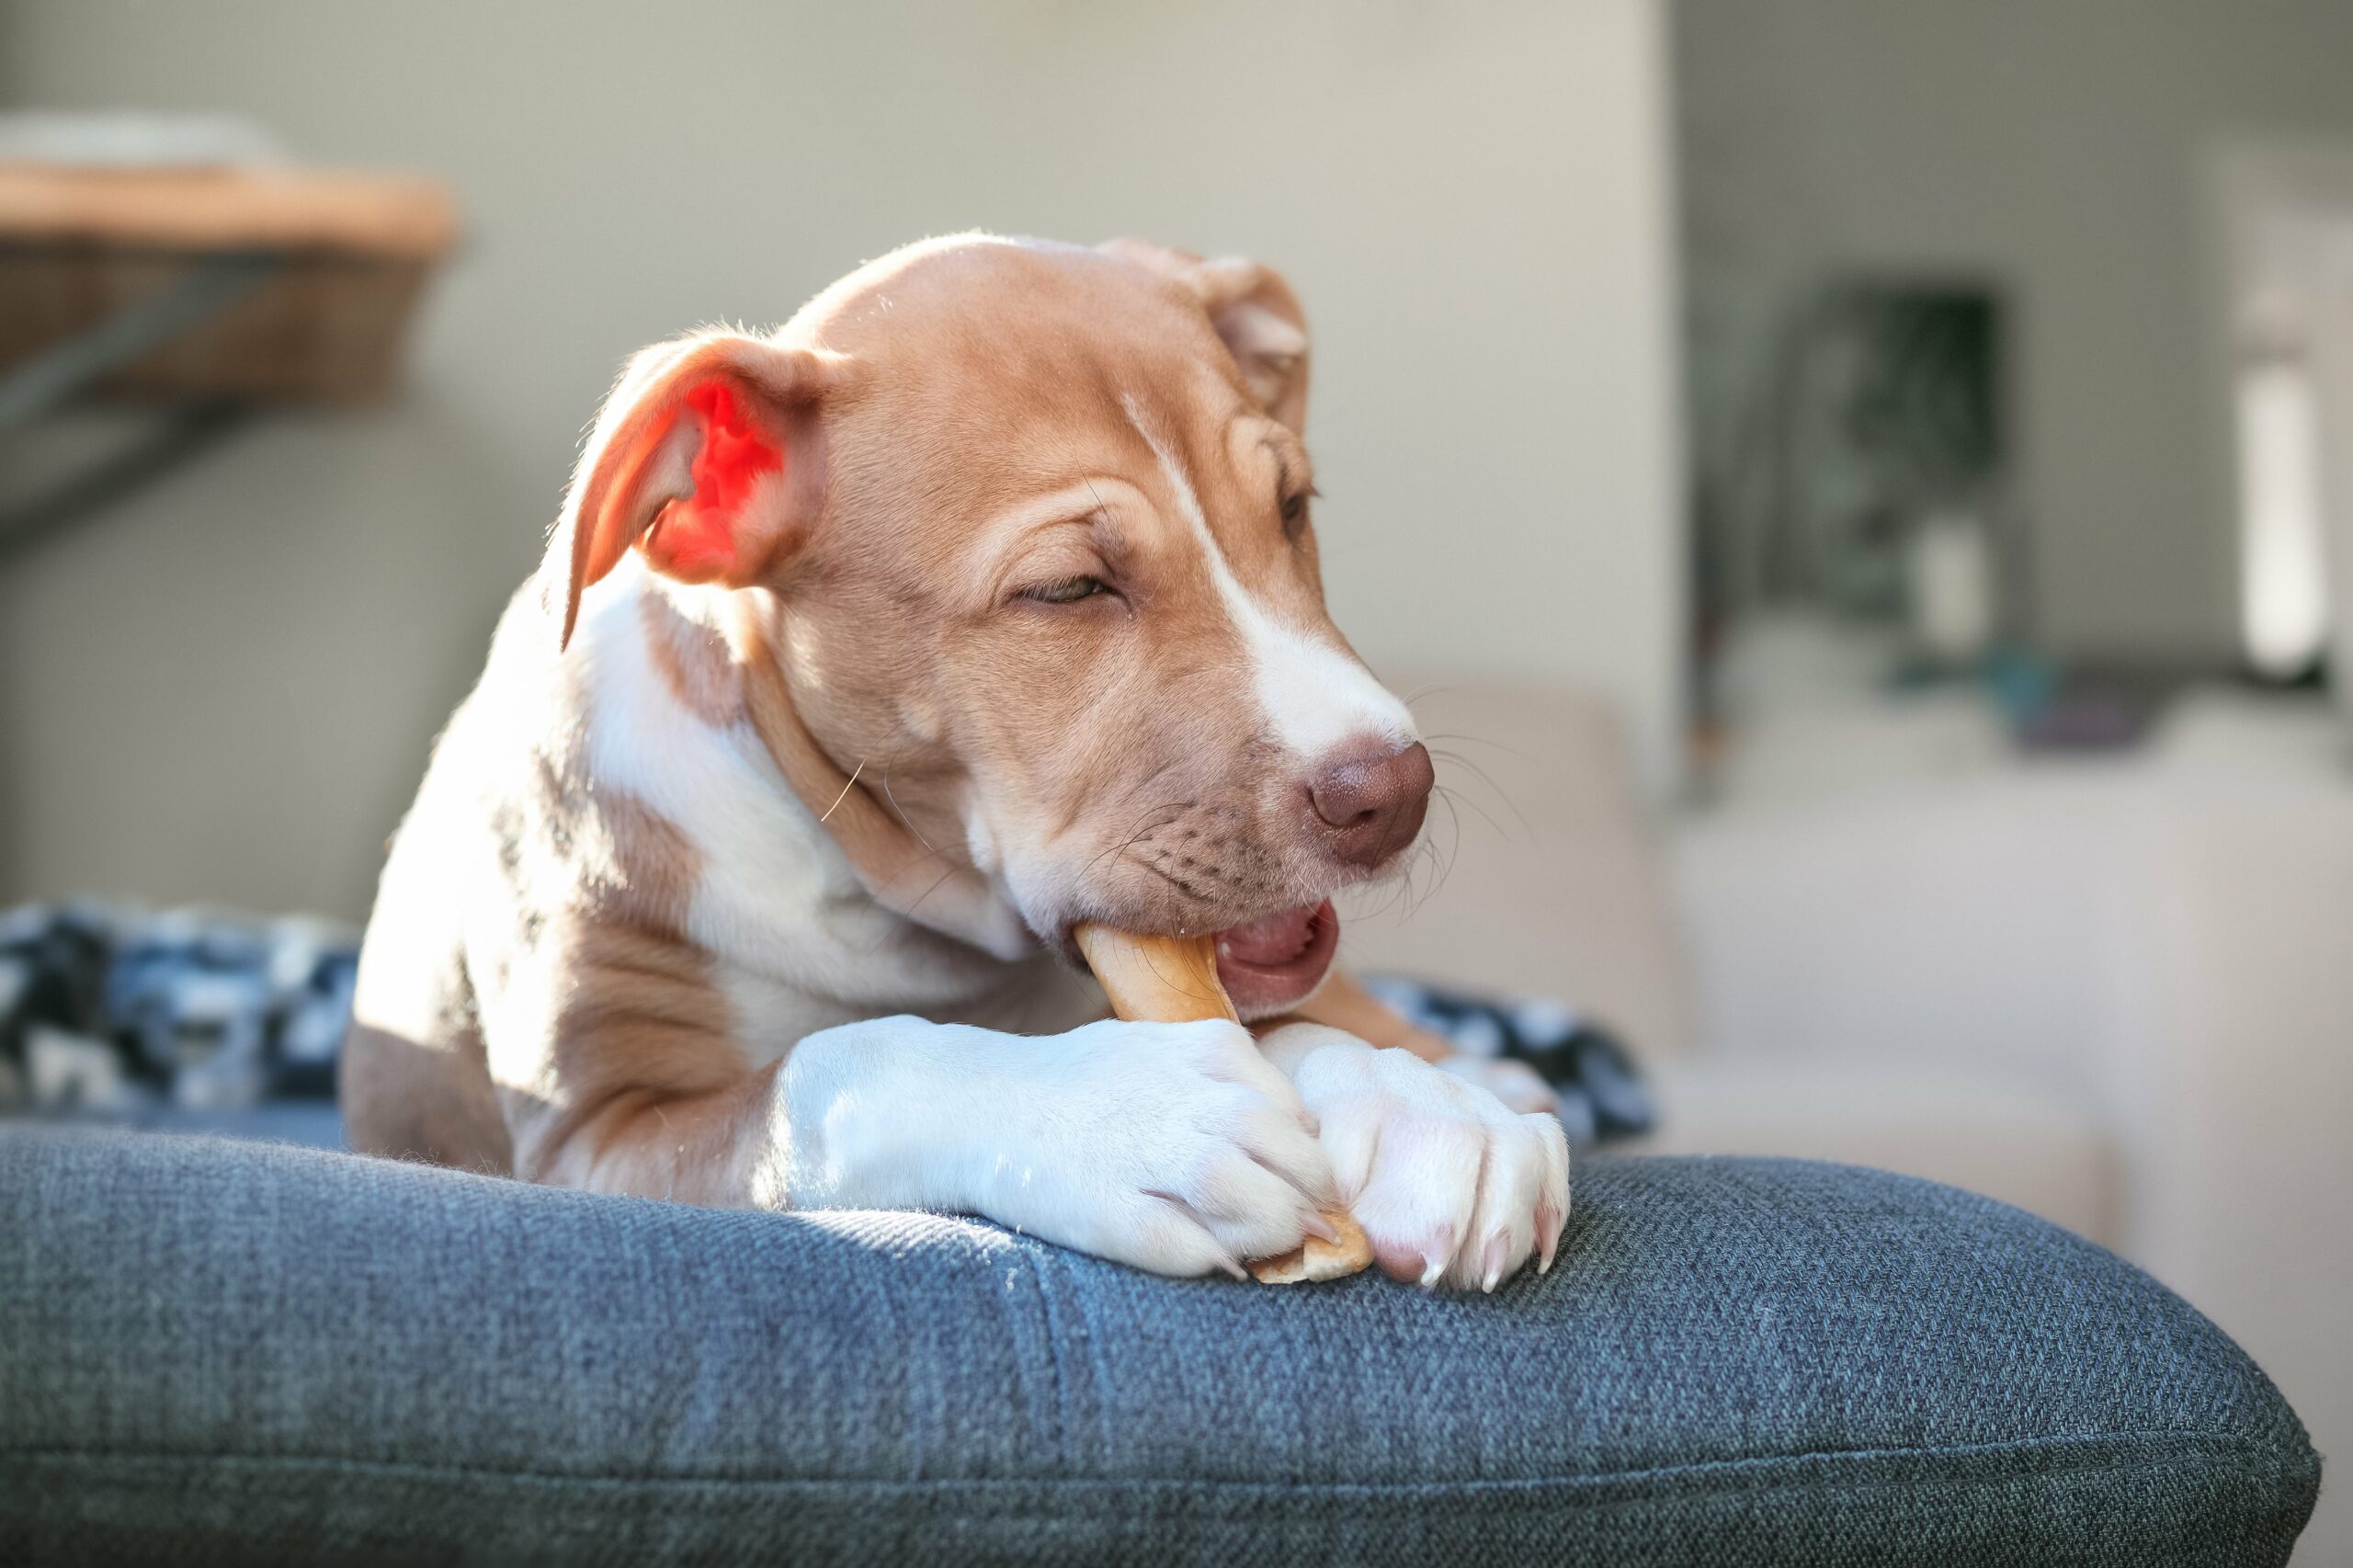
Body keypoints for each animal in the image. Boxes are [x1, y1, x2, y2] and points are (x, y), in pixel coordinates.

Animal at [343, 232, 1562, 1280]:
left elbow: (1282, 1020)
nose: (1395, 791)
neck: (876, 895)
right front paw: (1136, 1120)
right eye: (1068, 588)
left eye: (1293, 507)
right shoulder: (591, 1138)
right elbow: (839, 1065)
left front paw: (1419, 1109)